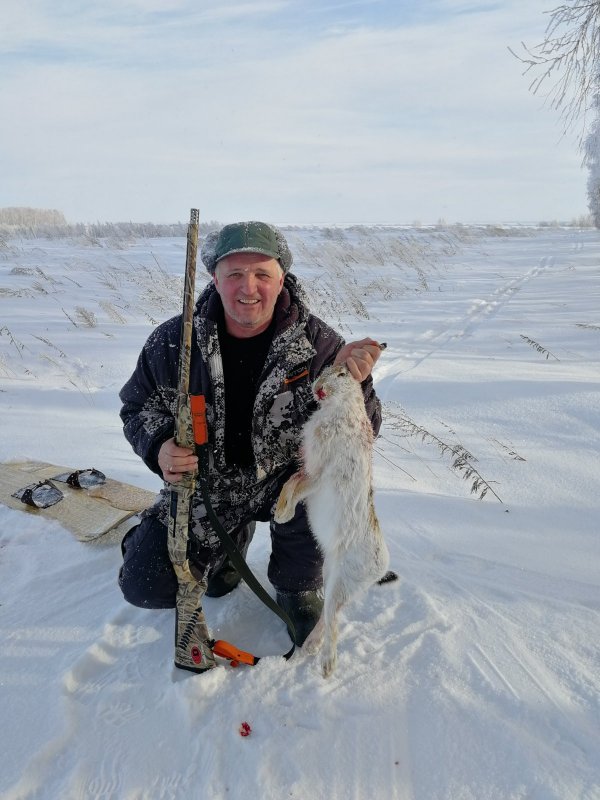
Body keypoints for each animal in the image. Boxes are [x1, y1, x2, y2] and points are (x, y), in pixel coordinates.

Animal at [274, 362, 391, 677]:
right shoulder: (308, 468)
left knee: (333, 620)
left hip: (343, 580)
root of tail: (381, 564)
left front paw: (282, 515)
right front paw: (280, 511)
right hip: (331, 575)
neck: (339, 407)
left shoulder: (319, 474)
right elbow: (290, 482)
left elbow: (297, 486)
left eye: (342, 375)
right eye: (326, 369)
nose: (319, 389)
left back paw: (327, 666)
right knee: (329, 616)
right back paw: (311, 648)